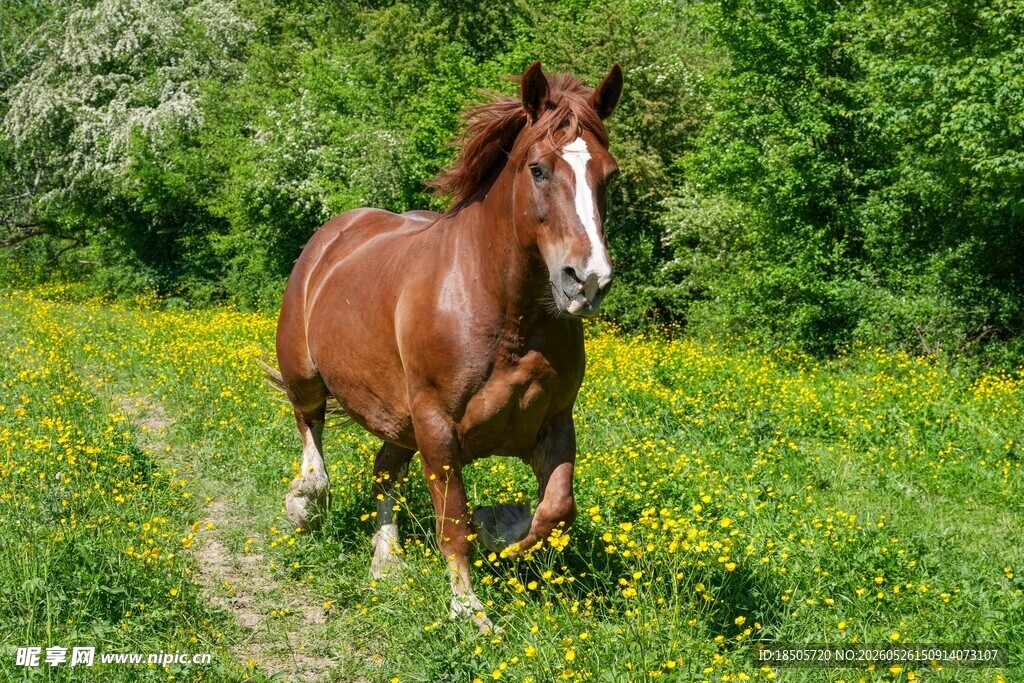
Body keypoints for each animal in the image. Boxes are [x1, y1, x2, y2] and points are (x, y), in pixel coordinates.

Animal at [269, 61, 623, 631]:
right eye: (538, 170)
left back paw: (387, 559)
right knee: (312, 434)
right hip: (308, 375)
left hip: (400, 419)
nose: (587, 281)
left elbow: (555, 511)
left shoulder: (552, 422)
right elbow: (453, 521)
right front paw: (468, 608)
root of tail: (334, 234)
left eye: (608, 176)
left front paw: (499, 522)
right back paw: (305, 503)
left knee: (383, 470)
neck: (504, 315)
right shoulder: (438, 427)